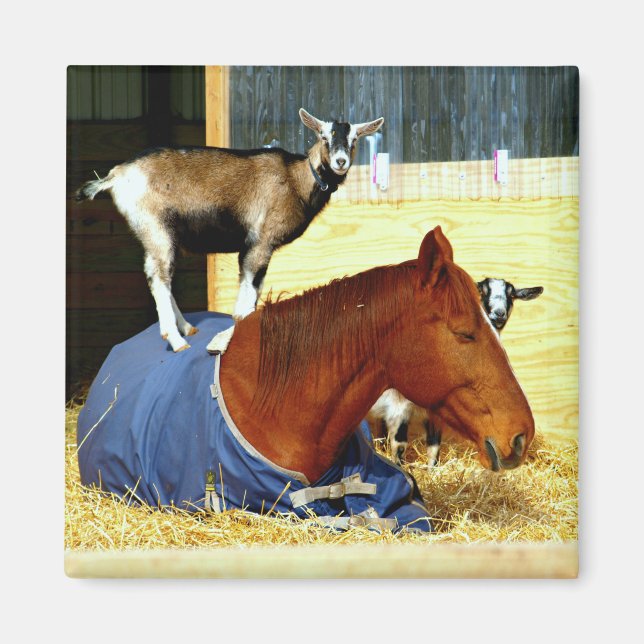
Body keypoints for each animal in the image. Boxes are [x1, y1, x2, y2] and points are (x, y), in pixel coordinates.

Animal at [74, 108, 384, 352]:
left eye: (354, 140)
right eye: (324, 137)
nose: (341, 162)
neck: (295, 178)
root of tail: (117, 175)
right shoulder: (259, 241)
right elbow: (247, 294)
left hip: (162, 236)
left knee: (161, 275)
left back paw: (187, 327)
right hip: (155, 228)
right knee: (158, 277)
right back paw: (176, 339)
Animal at [371, 278, 543, 466]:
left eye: (511, 295)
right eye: (481, 291)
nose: (499, 314)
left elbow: (434, 445)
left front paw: (433, 469)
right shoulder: (399, 405)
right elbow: (400, 445)